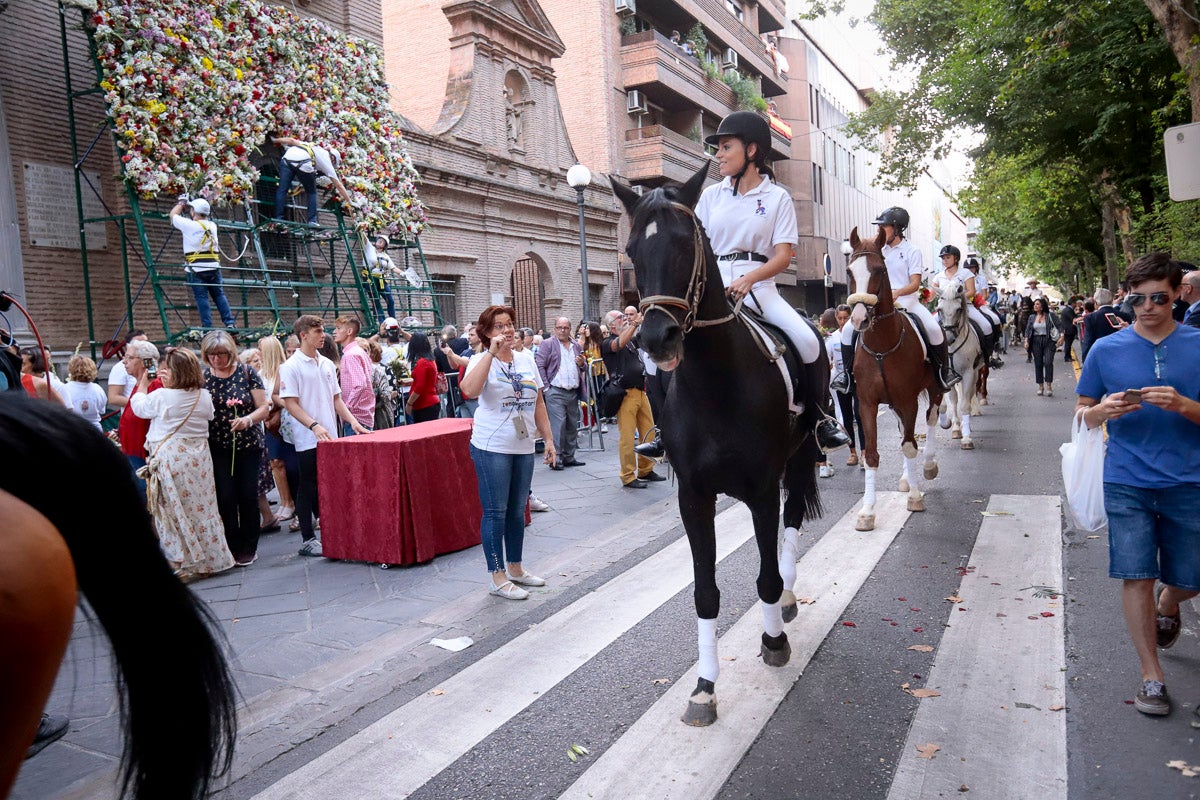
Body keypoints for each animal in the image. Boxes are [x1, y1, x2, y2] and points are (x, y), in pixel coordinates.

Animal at [614, 163, 820, 724]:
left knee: (794, 521)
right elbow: (705, 593)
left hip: (799, 459)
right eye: (632, 248)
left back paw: (789, 599)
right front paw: (704, 687)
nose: (655, 339)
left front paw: (774, 643)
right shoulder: (695, 496)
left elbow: (766, 576)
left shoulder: (762, 488)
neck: (716, 383)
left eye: (687, 244)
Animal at [844, 226, 945, 532]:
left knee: (930, 420)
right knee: (904, 431)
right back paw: (904, 478)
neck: (881, 346)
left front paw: (915, 496)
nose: (859, 319)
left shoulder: (908, 400)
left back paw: (928, 467)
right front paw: (867, 512)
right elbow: (872, 454)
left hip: (935, 390)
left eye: (879, 270)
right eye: (849, 271)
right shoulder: (867, 403)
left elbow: (910, 447)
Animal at [931, 283, 979, 450]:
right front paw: (950, 425)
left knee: (969, 396)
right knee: (955, 399)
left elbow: (964, 404)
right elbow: (947, 404)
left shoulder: (968, 373)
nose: (949, 338)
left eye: (959, 309)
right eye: (939, 309)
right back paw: (958, 428)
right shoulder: (944, 376)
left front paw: (967, 439)